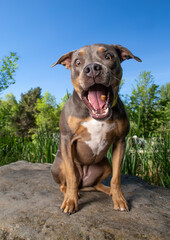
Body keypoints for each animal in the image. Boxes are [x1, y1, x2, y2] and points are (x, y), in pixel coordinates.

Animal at [51, 43, 141, 214]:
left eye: (108, 56)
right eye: (77, 62)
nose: (92, 68)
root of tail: (84, 181)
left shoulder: (120, 142)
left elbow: (116, 177)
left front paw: (119, 199)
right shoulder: (66, 139)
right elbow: (71, 176)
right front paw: (70, 201)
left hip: (105, 164)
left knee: (97, 184)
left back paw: (108, 191)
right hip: (58, 165)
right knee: (64, 184)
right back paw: (72, 193)